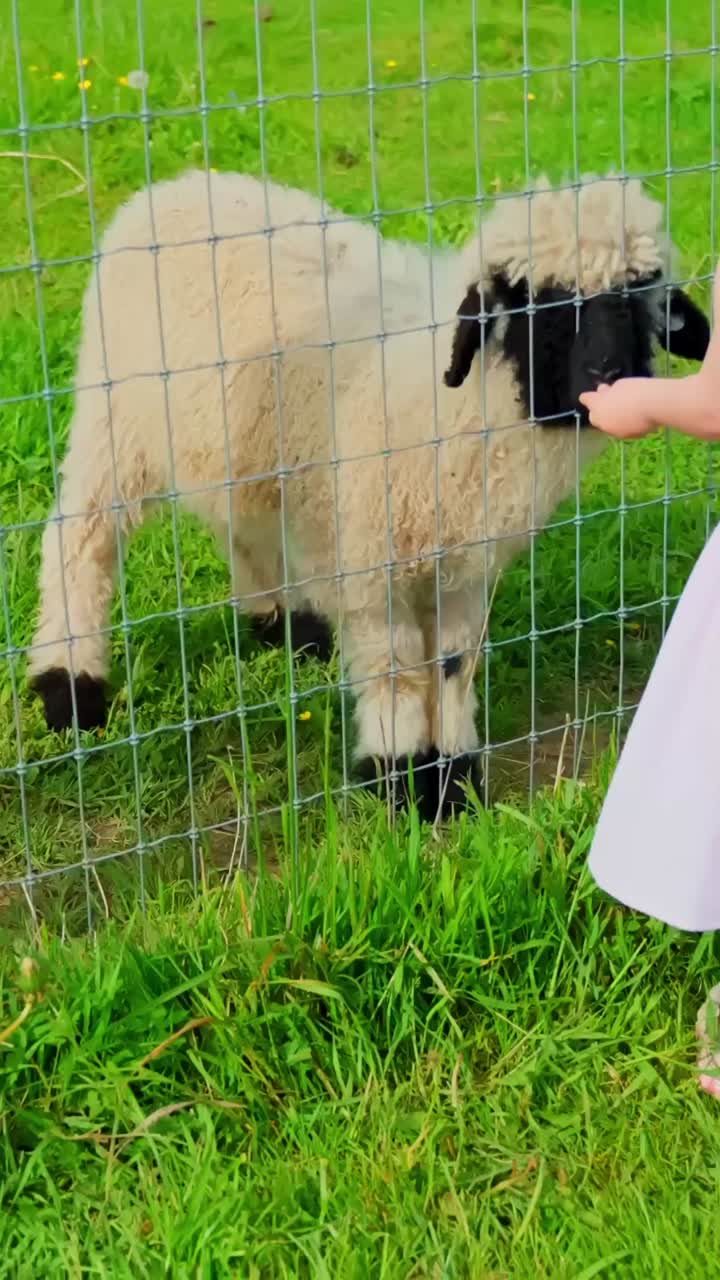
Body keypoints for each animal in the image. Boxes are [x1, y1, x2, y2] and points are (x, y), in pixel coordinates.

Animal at [28, 168, 710, 819]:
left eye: (640, 294)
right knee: (80, 538)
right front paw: (399, 776)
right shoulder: (371, 566)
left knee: (242, 524)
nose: (609, 375)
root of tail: (173, 187)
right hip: (117, 417)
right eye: (533, 302)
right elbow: (398, 668)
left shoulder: (462, 569)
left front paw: (453, 775)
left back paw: (286, 624)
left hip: (235, 442)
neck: (454, 408)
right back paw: (70, 688)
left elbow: (453, 664)